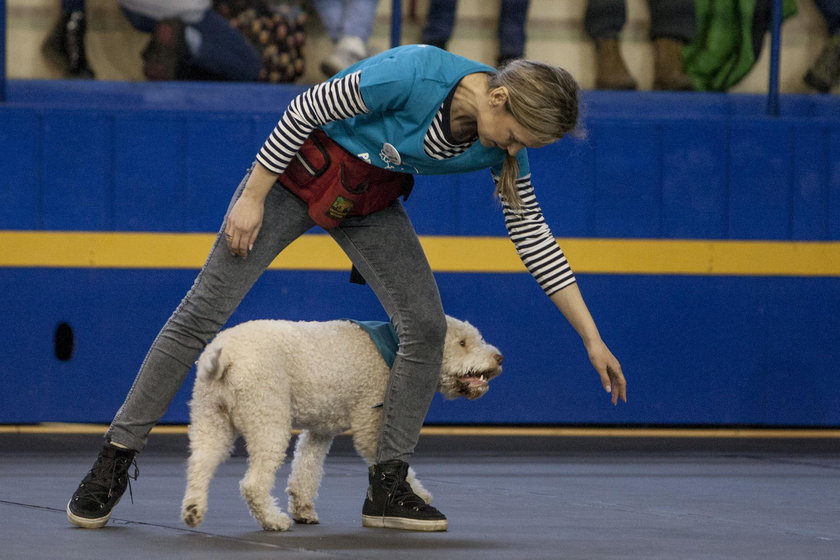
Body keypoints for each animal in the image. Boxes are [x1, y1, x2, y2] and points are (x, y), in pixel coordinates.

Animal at [180, 316, 502, 528]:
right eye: (462, 343)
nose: (499, 358)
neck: (394, 349)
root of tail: (225, 356)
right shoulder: (371, 421)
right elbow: (389, 459)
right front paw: (416, 496)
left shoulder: (320, 428)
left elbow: (307, 467)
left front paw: (303, 507)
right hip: (267, 419)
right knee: (253, 483)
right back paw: (273, 520)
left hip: (210, 418)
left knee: (200, 464)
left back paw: (194, 509)